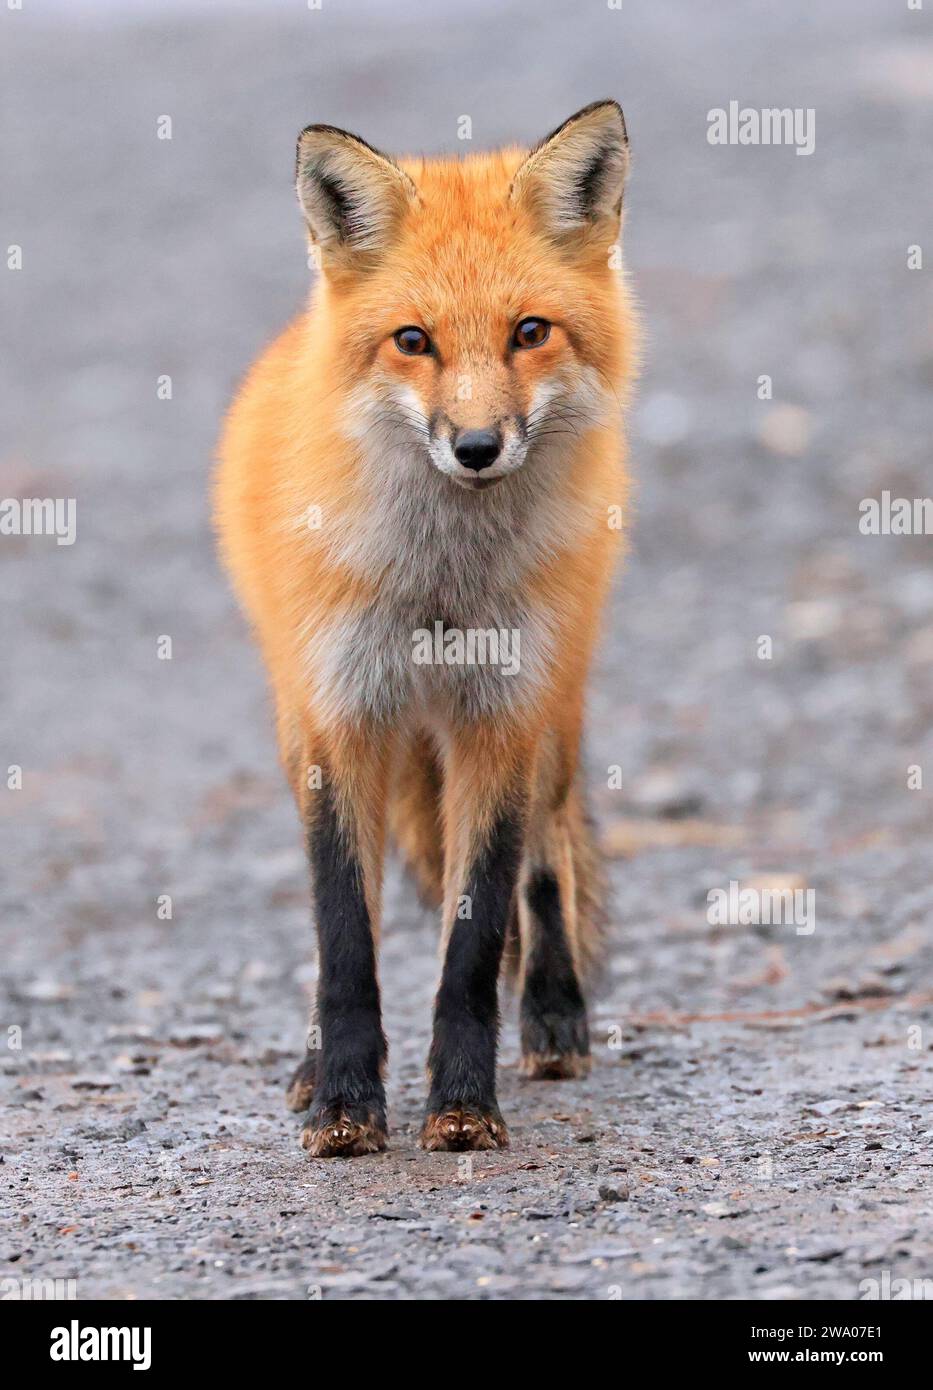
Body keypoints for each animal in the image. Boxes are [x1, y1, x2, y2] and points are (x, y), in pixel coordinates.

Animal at [215, 102, 639, 1156]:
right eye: (413, 340)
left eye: (529, 332)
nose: (477, 447)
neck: (438, 590)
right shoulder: (340, 716)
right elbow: (342, 934)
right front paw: (343, 1103)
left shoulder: (500, 717)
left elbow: (476, 937)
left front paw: (461, 1103)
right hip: (297, 721)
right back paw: (313, 1064)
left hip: (554, 715)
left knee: (547, 860)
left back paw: (554, 1013)